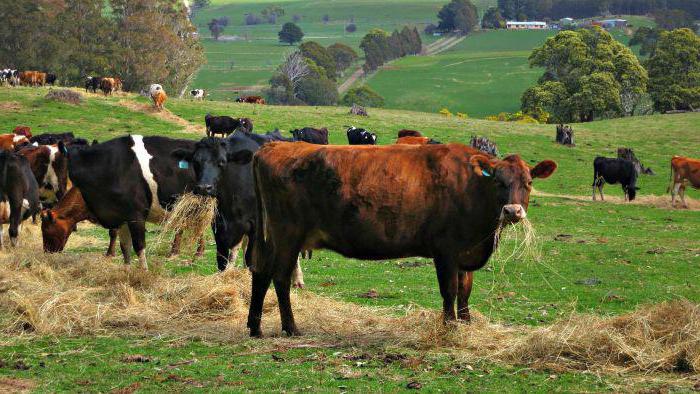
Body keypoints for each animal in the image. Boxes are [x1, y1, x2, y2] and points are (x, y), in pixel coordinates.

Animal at [67, 135, 200, 268]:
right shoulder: (121, 216)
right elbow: (125, 246)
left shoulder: (136, 215)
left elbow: (138, 246)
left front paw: (143, 271)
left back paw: (194, 254)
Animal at [171, 132, 304, 286]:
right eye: (196, 162)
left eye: (222, 162)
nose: (204, 187)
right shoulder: (219, 228)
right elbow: (222, 260)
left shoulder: (255, 226)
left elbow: (250, 258)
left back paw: (298, 279)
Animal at [247, 142, 556, 336]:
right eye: (499, 182)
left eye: (528, 183)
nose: (513, 211)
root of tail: (274, 146)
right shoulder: (446, 251)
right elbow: (450, 290)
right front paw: (449, 326)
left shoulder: (465, 252)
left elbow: (465, 290)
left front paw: (467, 325)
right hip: (288, 234)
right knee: (279, 277)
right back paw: (290, 327)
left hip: (274, 237)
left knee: (261, 273)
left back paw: (255, 327)